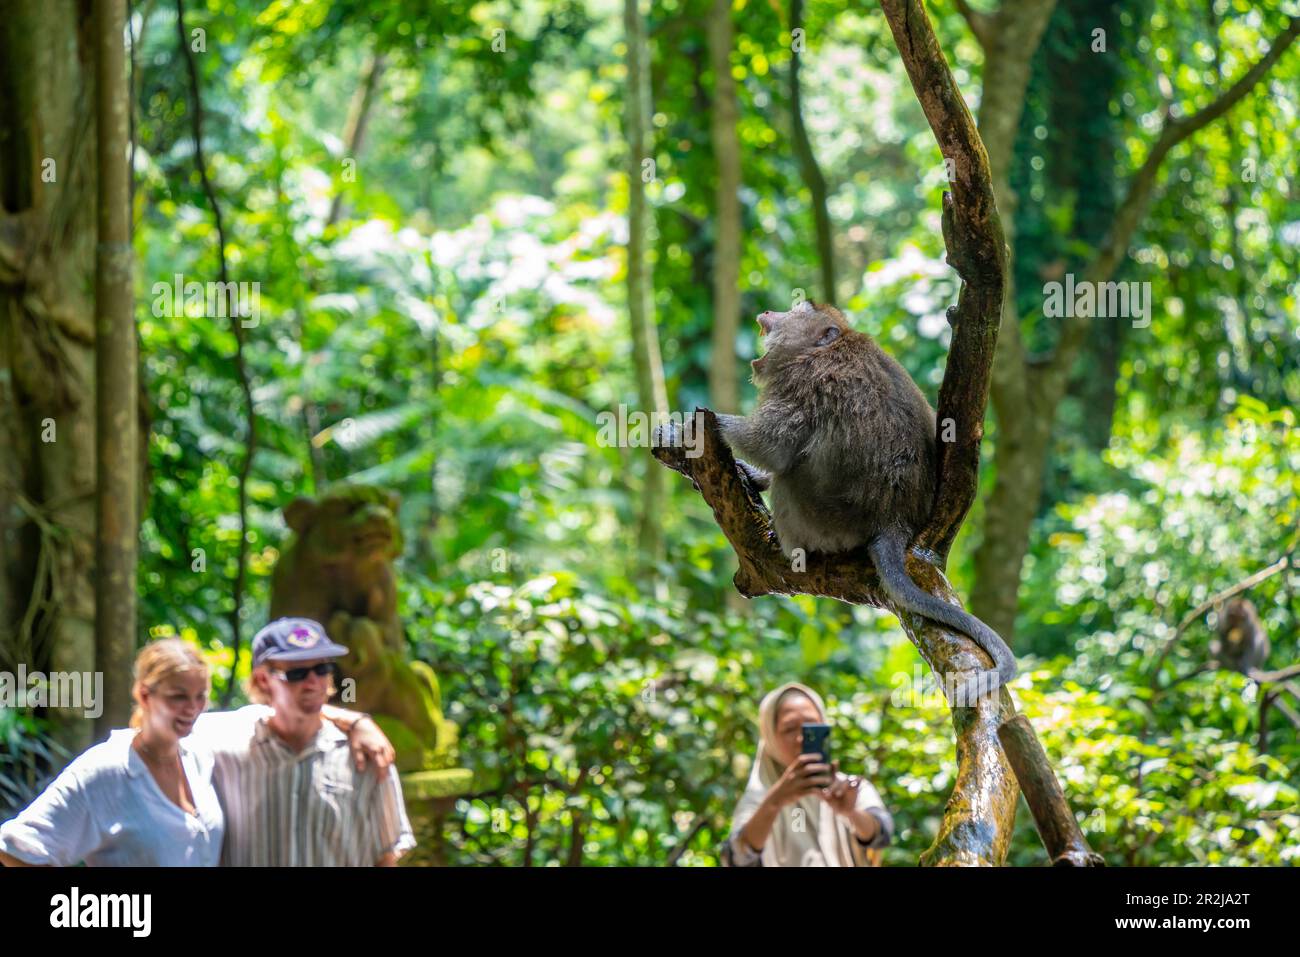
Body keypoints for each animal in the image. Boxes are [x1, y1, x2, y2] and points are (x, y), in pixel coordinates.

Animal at [715, 301, 1017, 705]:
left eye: (798, 309)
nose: (768, 311)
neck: (823, 349)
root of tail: (894, 522)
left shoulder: (805, 383)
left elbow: (773, 448)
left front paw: (701, 423)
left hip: (825, 522)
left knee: (790, 476)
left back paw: (790, 548)